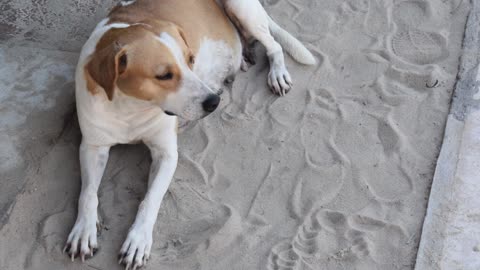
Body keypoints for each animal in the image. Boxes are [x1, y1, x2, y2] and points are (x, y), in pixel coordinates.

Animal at [62, 0, 316, 268]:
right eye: (163, 75)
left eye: (191, 59)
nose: (214, 102)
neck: (131, 108)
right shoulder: (92, 147)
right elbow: (88, 194)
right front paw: (84, 229)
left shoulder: (166, 154)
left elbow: (150, 200)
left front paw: (138, 240)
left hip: (241, 9)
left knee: (274, 45)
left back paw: (276, 73)